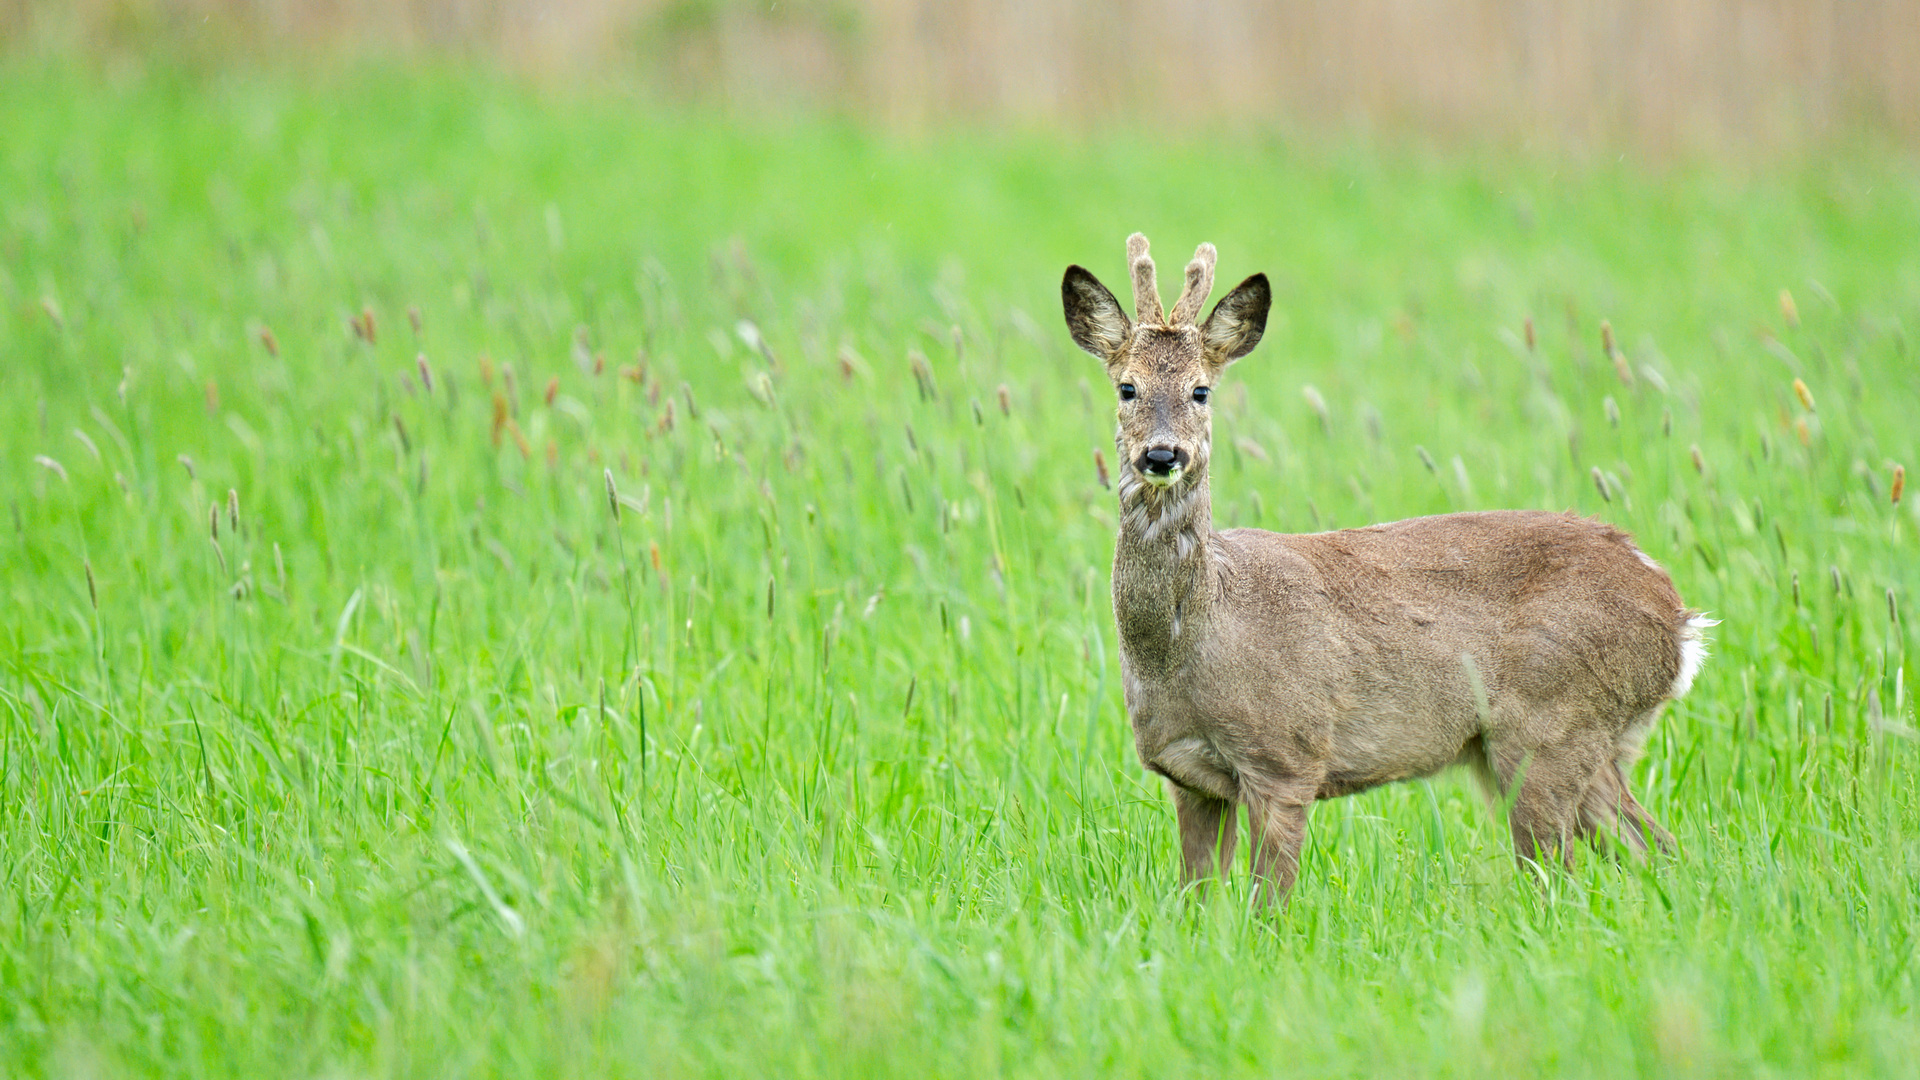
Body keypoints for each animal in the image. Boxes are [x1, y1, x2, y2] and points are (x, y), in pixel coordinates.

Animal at [1067, 233, 1712, 899]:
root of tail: (1677, 616)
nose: (1162, 454)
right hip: (1573, 743)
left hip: (1550, 726)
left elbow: (1269, 902)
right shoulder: (1188, 777)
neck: (1198, 633)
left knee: (1559, 874)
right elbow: (1198, 900)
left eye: (1201, 391)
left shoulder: (1287, 754)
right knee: (1658, 850)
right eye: (1126, 388)